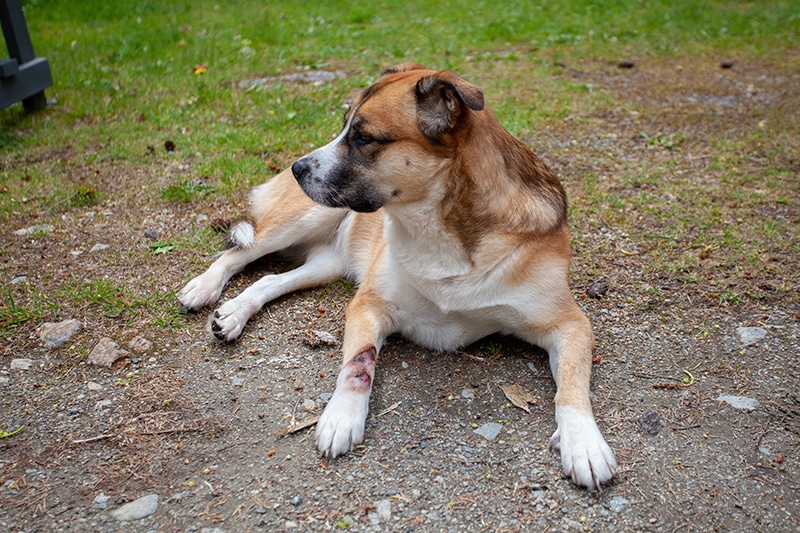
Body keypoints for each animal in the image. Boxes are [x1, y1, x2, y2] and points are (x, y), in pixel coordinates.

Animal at [180, 61, 620, 486]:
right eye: (344, 125)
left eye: (364, 138)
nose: (296, 168)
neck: (442, 229)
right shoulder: (368, 305)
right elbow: (358, 365)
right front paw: (341, 417)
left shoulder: (569, 324)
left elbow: (572, 387)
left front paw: (583, 442)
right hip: (300, 220)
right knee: (238, 253)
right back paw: (204, 288)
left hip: (327, 263)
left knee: (270, 280)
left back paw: (233, 313)